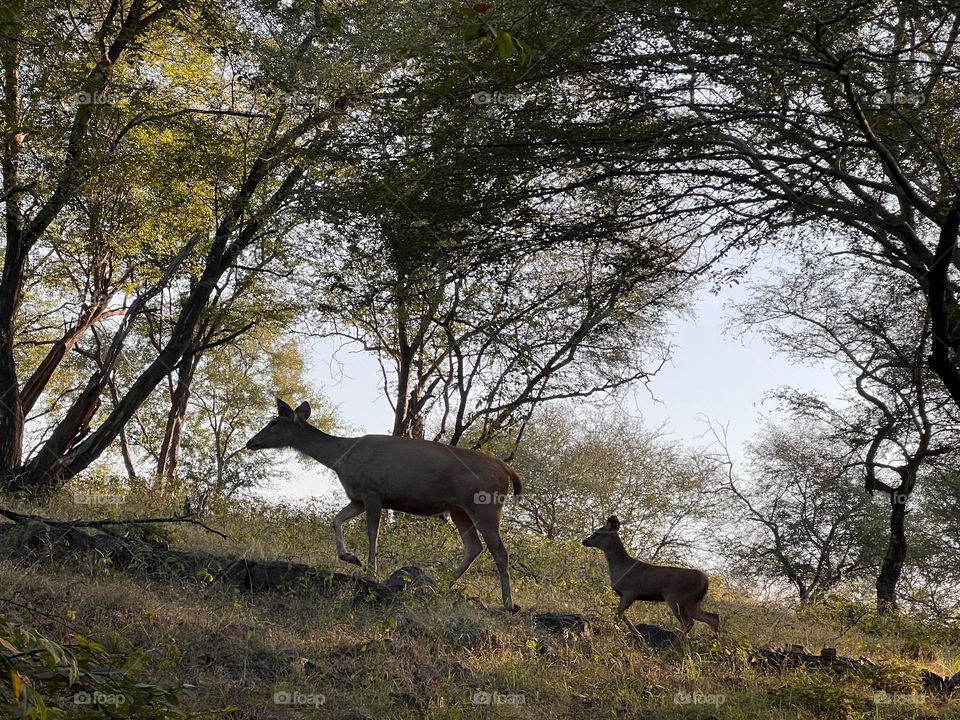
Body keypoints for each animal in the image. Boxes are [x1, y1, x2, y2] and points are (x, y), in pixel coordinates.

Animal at [244, 400, 520, 608]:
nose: (250, 442)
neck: (340, 459)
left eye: (274, 422)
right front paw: (351, 558)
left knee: (499, 550)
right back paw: (440, 584)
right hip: (458, 510)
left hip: (484, 505)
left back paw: (507, 603)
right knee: (474, 547)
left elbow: (372, 532)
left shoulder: (372, 491)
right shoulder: (357, 498)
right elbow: (336, 519)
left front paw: (370, 570)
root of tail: (507, 471)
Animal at [576, 516, 720, 640]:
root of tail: (705, 581)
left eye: (597, 533)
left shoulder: (631, 591)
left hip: (676, 597)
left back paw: (676, 641)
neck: (620, 566)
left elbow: (619, 614)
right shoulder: (624, 594)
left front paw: (632, 634)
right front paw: (638, 635)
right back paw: (714, 640)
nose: (584, 541)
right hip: (692, 602)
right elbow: (620, 614)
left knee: (689, 622)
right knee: (713, 617)